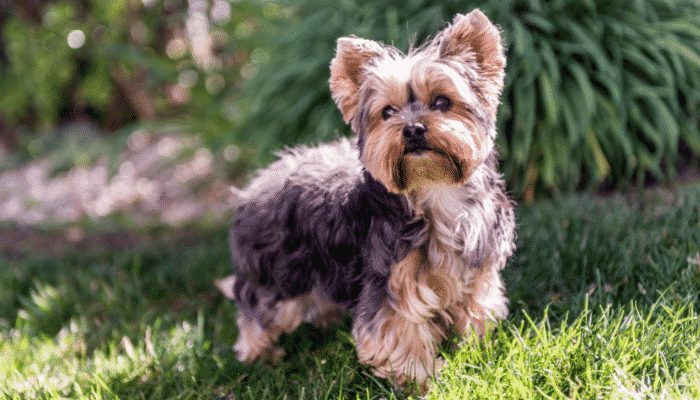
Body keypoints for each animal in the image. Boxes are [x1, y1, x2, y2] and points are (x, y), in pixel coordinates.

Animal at [217, 8, 516, 384]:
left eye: (442, 102)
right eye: (387, 112)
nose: (412, 129)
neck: (435, 190)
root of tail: (252, 186)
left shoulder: (478, 268)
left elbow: (477, 307)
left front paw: (476, 349)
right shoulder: (391, 278)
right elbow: (400, 329)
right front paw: (420, 378)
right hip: (278, 271)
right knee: (257, 306)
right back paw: (259, 355)